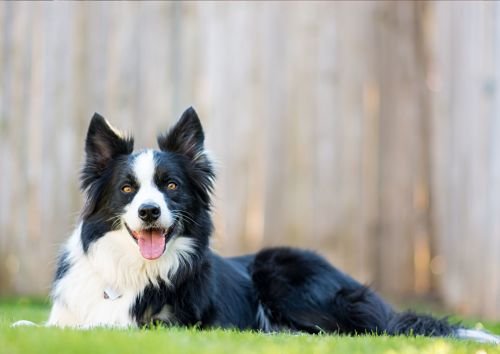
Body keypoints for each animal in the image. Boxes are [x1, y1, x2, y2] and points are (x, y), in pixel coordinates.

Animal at [45, 107, 498, 342]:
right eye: (127, 189)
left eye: (170, 185)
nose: (150, 212)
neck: (128, 271)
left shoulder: (166, 326)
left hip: (282, 270)